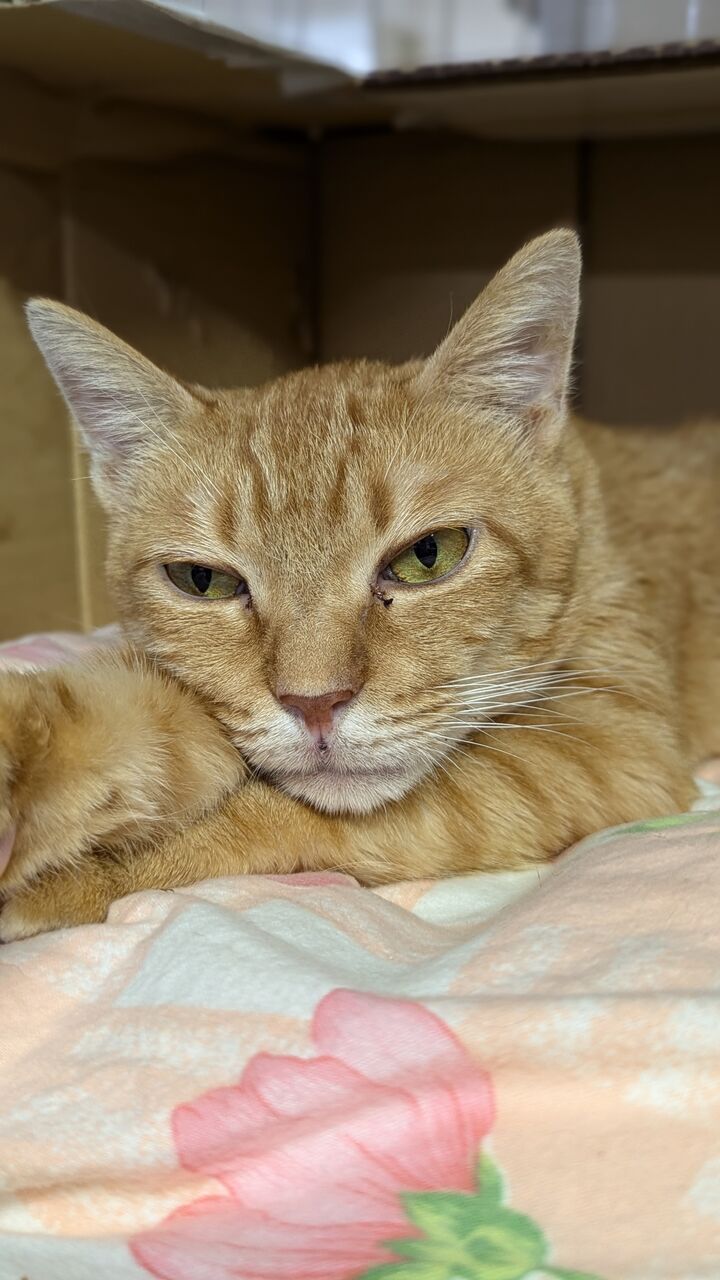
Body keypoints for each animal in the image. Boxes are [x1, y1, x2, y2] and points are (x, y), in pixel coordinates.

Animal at [0, 229, 717, 942]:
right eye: (203, 581)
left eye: (429, 555)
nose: (316, 704)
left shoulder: (612, 738)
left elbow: (273, 818)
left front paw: (81, 879)